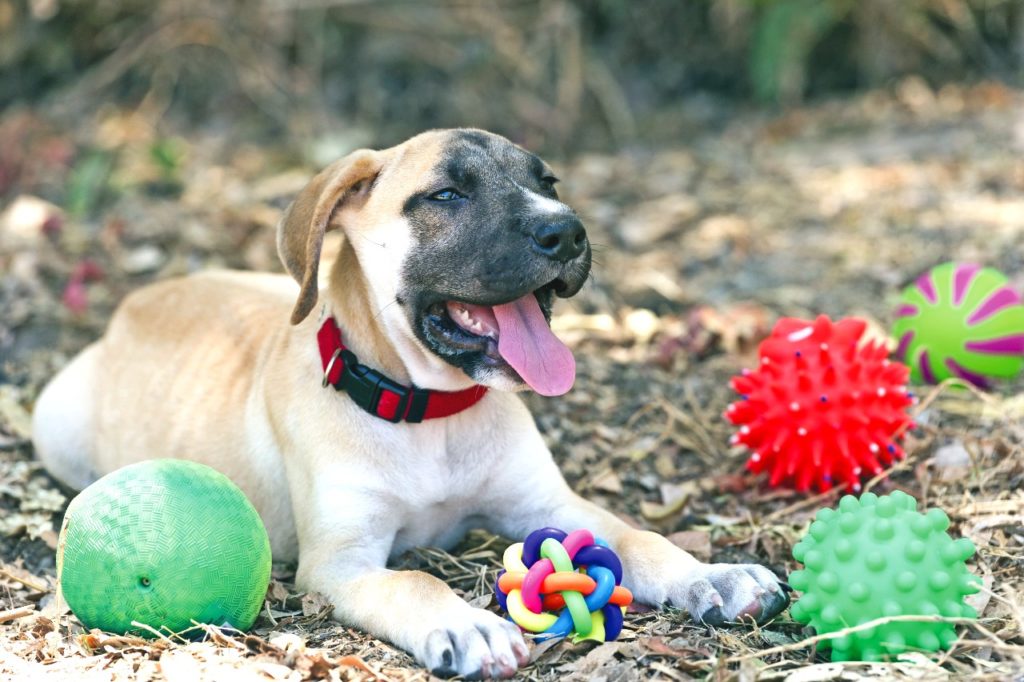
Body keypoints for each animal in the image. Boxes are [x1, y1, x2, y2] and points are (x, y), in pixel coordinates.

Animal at [29, 127, 782, 675]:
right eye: (446, 195)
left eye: (548, 184)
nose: (567, 231)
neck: (429, 413)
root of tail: (137, 300)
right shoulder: (340, 564)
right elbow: (412, 583)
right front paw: (467, 622)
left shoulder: (550, 504)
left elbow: (636, 536)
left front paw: (711, 575)